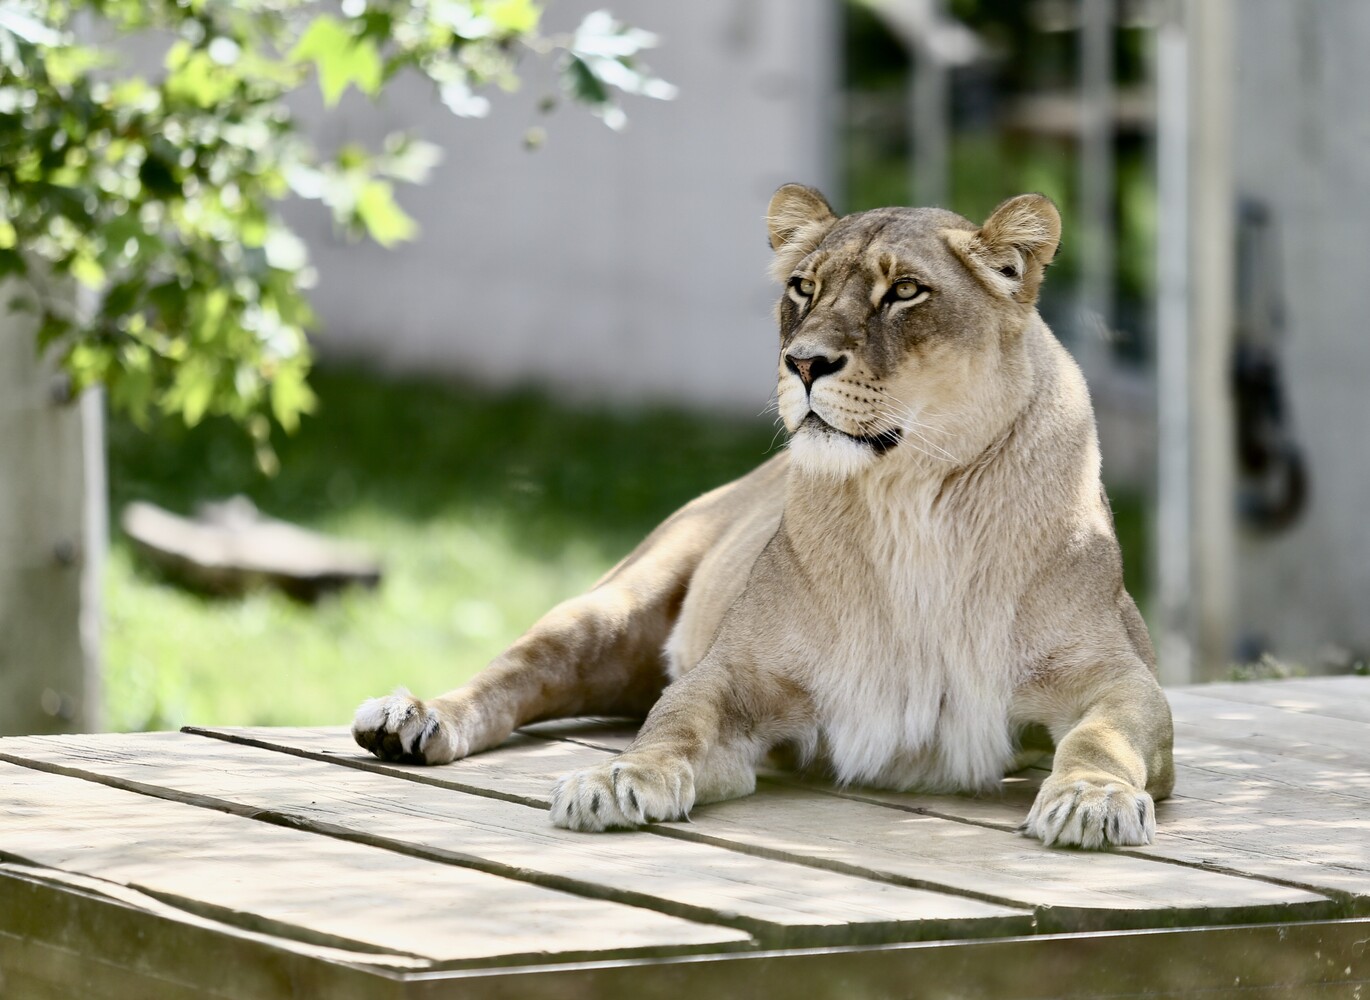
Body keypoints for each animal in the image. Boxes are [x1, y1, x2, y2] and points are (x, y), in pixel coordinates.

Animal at [352, 185, 1175, 849]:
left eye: (905, 292)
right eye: (803, 287)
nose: (803, 362)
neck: (910, 501)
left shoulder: (1120, 677)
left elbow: (1104, 737)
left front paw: (1092, 799)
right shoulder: (736, 677)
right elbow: (673, 723)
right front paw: (617, 780)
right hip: (611, 605)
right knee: (513, 676)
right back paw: (411, 720)